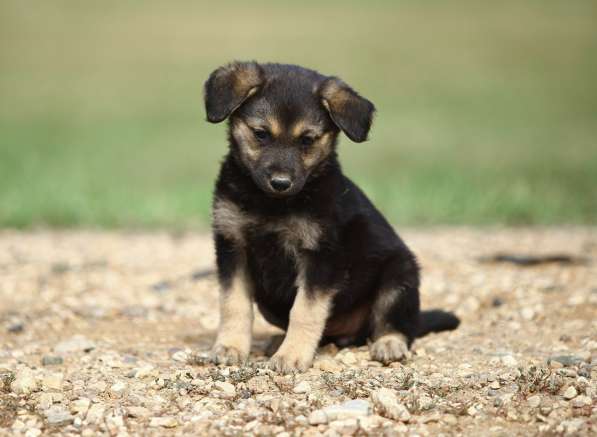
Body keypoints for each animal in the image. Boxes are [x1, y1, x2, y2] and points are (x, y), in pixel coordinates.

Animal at [203, 61, 458, 372]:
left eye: (307, 140)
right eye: (260, 133)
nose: (281, 183)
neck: (272, 204)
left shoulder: (321, 257)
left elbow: (305, 310)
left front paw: (292, 355)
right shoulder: (232, 246)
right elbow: (234, 303)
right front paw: (230, 347)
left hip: (401, 275)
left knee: (395, 324)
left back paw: (389, 343)